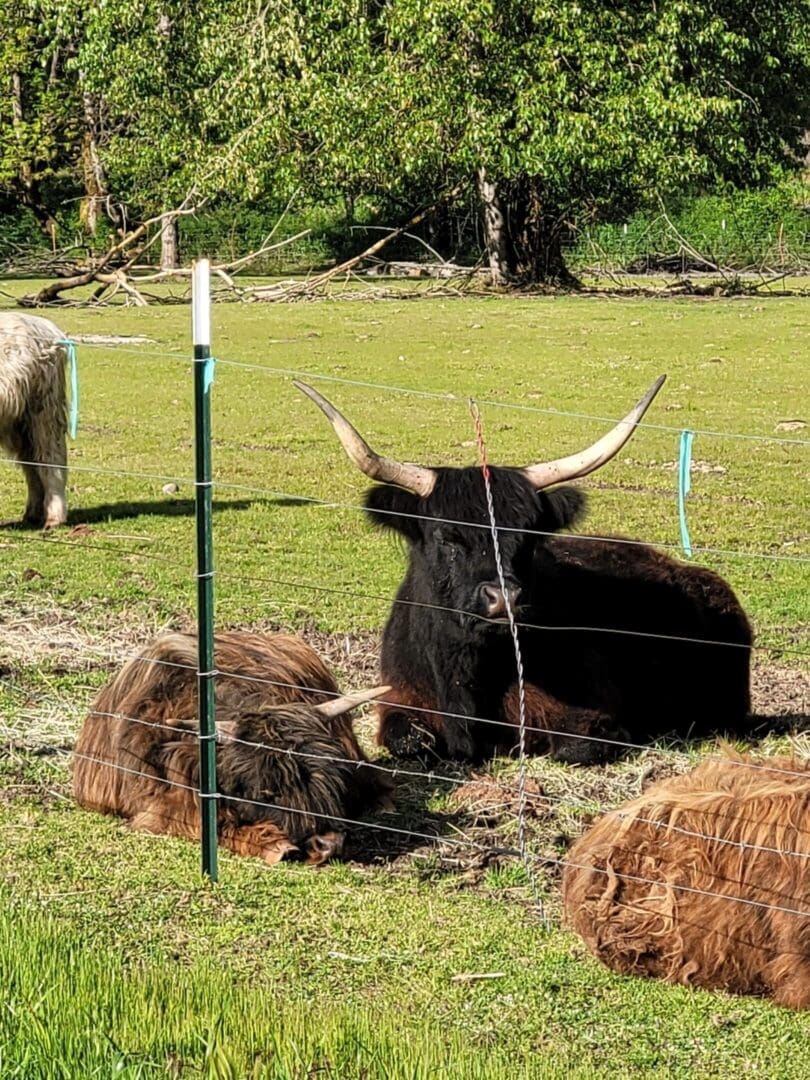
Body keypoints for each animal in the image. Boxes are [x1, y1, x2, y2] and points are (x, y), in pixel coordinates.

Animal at [0, 312, 69, 528]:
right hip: (21, 425)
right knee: (32, 466)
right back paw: (33, 514)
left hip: (44, 412)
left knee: (51, 459)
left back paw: (54, 517)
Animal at [296, 378, 752, 764]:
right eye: (447, 536)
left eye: (529, 536)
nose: (503, 598)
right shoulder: (399, 702)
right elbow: (407, 742)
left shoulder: (593, 717)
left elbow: (574, 747)